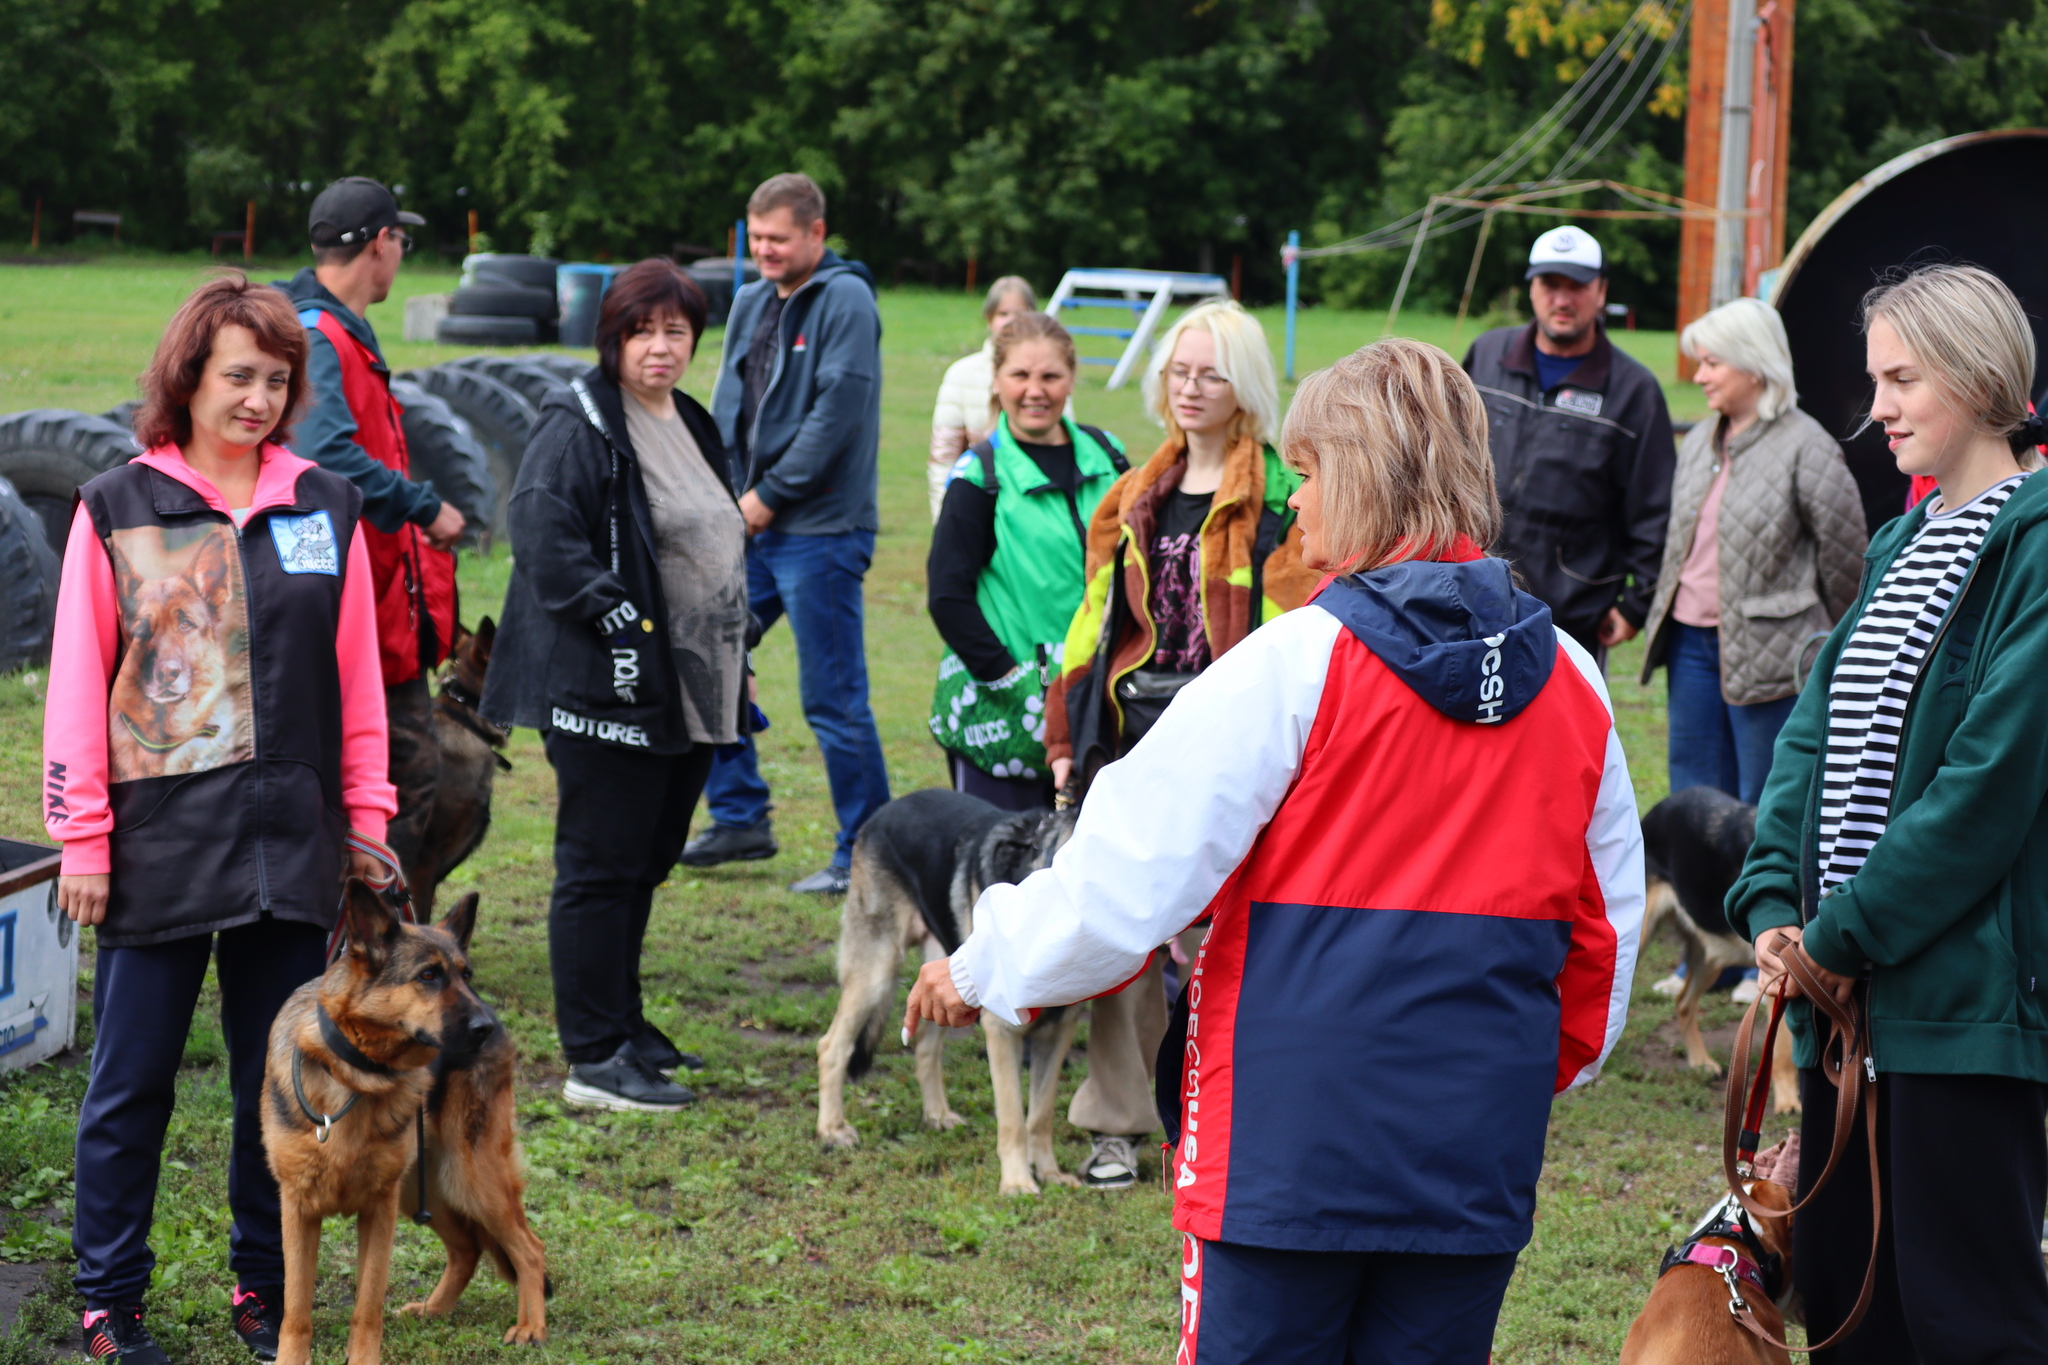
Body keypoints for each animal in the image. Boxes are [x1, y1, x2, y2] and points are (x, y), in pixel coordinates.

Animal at [264, 879, 552, 1358]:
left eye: (466, 975)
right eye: (428, 976)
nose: (484, 1029)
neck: (356, 1075)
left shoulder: (379, 1210)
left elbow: (367, 1307)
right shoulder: (299, 1209)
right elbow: (296, 1310)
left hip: (469, 1177)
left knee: (529, 1248)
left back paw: (531, 1328)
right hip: (428, 1185)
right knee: (467, 1248)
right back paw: (435, 1310)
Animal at [819, 789, 1089, 1195]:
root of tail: (885, 810)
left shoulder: (1058, 1032)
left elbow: (1040, 1116)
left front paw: (1050, 1173)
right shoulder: (1002, 1030)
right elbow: (1013, 1116)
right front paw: (1017, 1182)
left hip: (943, 985)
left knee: (925, 1048)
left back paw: (937, 1114)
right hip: (877, 972)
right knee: (832, 1047)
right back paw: (832, 1129)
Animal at [1638, 789, 1802, 1113]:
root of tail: (1657, 808)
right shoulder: (1780, 973)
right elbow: (1781, 1049)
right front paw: (1788, 1102)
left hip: (1712, 955)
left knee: (1683, 1002)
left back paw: (1700, 1062)